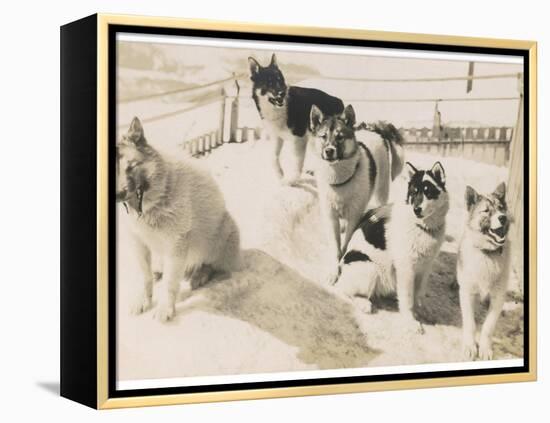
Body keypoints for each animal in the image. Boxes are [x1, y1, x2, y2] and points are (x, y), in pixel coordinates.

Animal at [116, 116, 242, 322]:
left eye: (131, 167)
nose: (118, 195)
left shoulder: (176, 244)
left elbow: (170, 283)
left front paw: (165, 309)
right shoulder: (137, 242)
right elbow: (144, 276)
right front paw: (144, 301)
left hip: (222, 232)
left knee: (213, 265)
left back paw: (199, 275)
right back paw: (159, 271)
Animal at [248, 53, 342, 186]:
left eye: (280, 81)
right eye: (269, 83)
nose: (282, 93)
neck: (280, 110)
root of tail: (338, 101)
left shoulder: (299, 140)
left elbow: (296, 165)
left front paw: (290, 181)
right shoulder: (277, 137)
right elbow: (273, 158)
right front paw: (280, 175)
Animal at [312, 104, 408, 286]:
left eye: (340, 137)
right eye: (323, 136)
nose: (329, 151)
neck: (340, 180)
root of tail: (375, 129)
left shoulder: (355, 215)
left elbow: (346, 242)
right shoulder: (330, 216)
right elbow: (335, 246)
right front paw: (333, 270)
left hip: (381, 190)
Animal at [338, 162, 450, 334]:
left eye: (428, 192)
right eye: (414, 192)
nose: (416, 209)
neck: (422, 228)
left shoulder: (425, 267)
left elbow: (419, 293)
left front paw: (422, 310)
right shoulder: (407, 268)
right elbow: (408, 299)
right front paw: (410, 321)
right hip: (370, 269)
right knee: (344, 289)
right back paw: (364, 303)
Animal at [458, 183, 512, 362]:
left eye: (501, 208)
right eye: (487, 211)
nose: (503, 218)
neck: (488, 254)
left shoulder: (498, 297)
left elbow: (488, 327)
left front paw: (485, 348)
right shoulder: (467, 293)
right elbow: (470, 323)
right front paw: (469, 346)